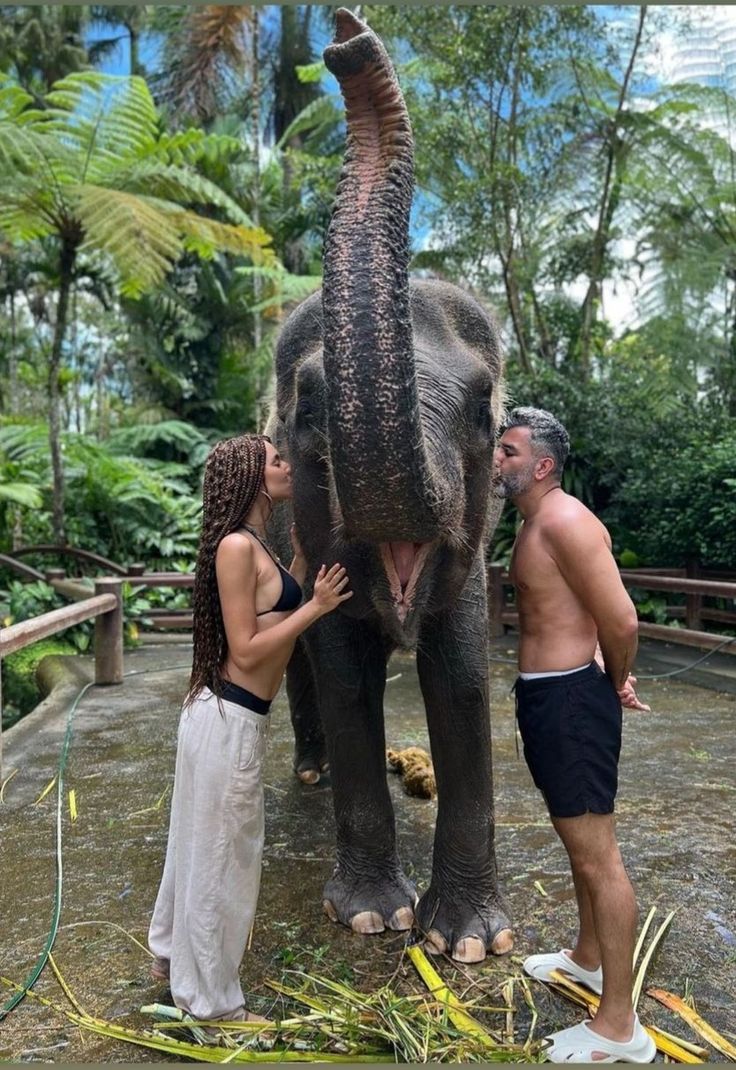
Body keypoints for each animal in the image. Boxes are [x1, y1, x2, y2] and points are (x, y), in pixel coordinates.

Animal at [267, 8, 515, 963]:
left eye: (483, 412)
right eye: (310, 416)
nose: (341, 37)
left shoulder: (475, 556)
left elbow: (464, 678)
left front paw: (470, 943)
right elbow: (342, 672)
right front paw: (376, 917)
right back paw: (311, 770)